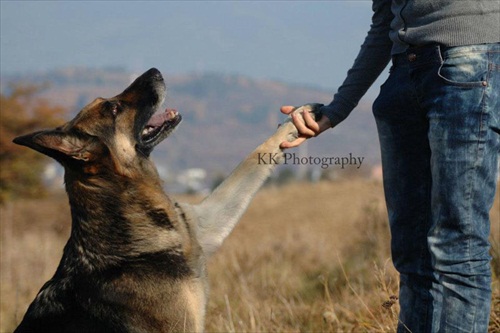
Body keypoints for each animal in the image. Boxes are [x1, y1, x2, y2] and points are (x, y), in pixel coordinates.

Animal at [14, 68, 320, 332]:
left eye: (107, 101)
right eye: (114, 109)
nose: (155, 71)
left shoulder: (206, 222)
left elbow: (255, 156)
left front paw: (297, 119)